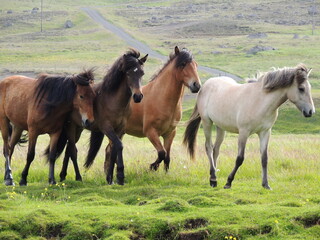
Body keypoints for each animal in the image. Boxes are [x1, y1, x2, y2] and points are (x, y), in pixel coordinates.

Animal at [47, 48, 148, 184]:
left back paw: (63, 175)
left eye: (142, 73)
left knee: (68, 150)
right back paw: (77, 177)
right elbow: (119, 146)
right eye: (128, 73)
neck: (113, 100)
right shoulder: (107, 128)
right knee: (72, 150)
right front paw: (120, 176)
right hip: (71, 127)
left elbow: (113, 150)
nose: (138, 96)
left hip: (78, 129)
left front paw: (110, 178)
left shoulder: (120, 130)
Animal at [84, 45, 201, 181]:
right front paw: (152, 167)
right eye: (183, 64)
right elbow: (162, 153)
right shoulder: (151, 132)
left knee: (109, 149)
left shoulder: (170, 133)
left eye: (196, 65)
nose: (196, 85)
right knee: (110, 149)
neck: (161, 97)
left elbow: (167, 157)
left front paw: (166, 174)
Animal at [184, 63, 314, 189]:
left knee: (216, 150)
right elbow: (240, 158)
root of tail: (205, 86)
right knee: (209, 148)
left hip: (221, 127)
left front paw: (266, 184)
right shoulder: (244, 132)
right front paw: (228, 182)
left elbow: (264, 158)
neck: (260, 101)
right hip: (207, 122)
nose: (311, 112)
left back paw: (214, 177)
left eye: (309, 88)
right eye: (301, 89)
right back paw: (213, 179)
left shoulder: (265, 132)